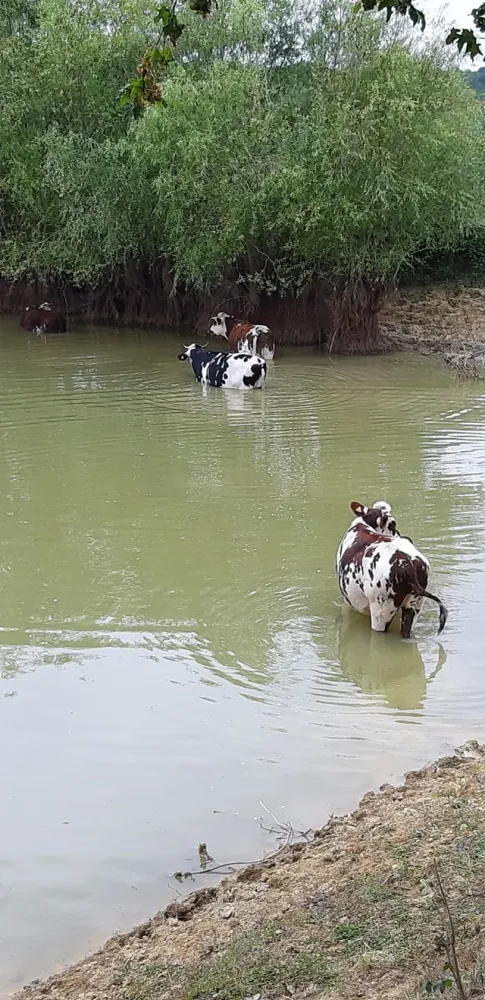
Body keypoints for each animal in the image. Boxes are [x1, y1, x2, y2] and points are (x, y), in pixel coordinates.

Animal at [336, 500, 448, 639]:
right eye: (393, 526)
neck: (364, 524)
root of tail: (406, 562)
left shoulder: (347, 601)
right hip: (413, 606)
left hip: (381, 612)